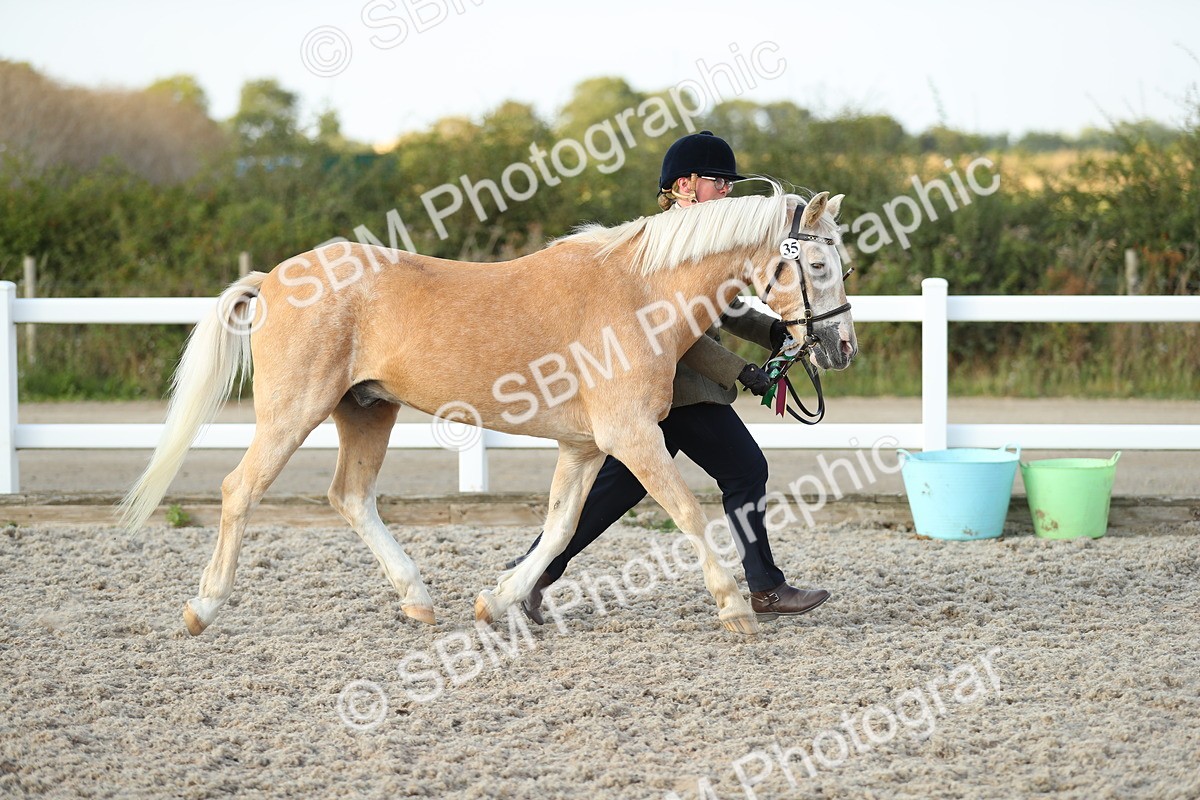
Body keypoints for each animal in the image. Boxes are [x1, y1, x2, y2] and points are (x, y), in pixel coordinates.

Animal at [119, 185, 857, 637]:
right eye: (819, 264)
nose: (840, 347)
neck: (639, 293)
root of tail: (272, 278)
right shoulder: (631, 436)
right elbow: (687, 513)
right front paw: (735, 609)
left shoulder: (586, 447)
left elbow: (561, 528)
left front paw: (496, 601)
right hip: (293, 410)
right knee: (238, 490)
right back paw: (202, 609)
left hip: (366, 411)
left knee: (350, 497)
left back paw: (418, 600)